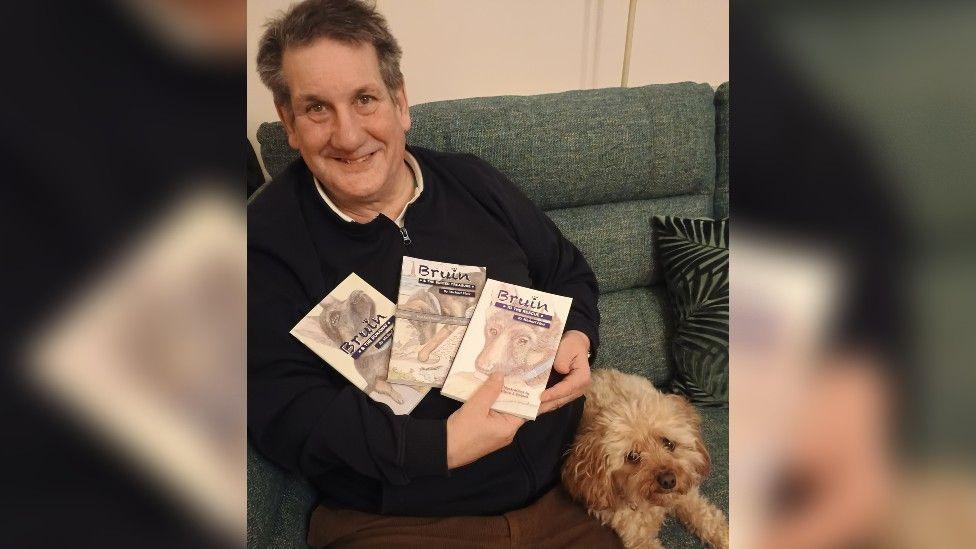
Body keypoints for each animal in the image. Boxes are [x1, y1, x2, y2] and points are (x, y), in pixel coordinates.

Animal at [560, 368, 728, 548]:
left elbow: (710, 521)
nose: (668, 480)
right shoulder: (637, 536)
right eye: (632, 456)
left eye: (669, 443)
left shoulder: (689, 497)